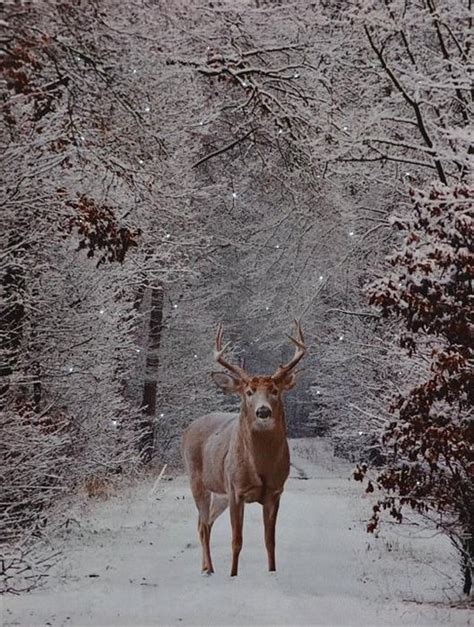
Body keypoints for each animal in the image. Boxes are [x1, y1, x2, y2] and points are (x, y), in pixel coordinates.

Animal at [180, 324, 306, 580]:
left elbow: (270, 540)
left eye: (275, 390)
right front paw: (233, 575)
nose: (263, 412)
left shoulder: (275, 492)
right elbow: (236, 540)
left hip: (220, 494)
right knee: (203, 524)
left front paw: (272, 572)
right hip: (197, 480)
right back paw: (210, 569)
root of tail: (190, 428)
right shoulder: (236, 490)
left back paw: (205, 567)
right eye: (249, 391)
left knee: (204, 522)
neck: (260, 467)